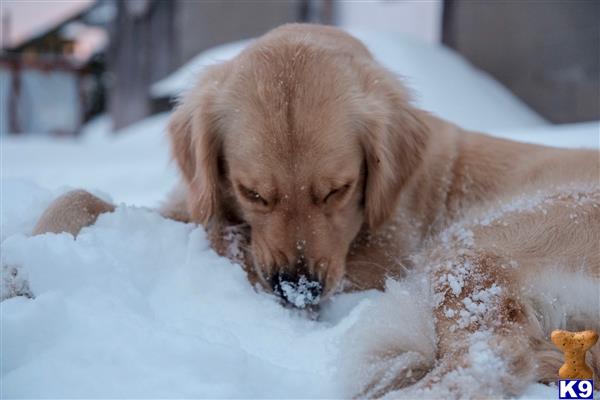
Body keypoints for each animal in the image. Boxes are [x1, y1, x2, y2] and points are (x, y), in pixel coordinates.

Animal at [31, 24, 600, 396]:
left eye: (337, 190)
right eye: (253, 192)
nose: (297, 290)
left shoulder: (378, 263)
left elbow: (218, 238)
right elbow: (79, 198)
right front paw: (31, 257)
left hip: (477, 242)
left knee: (493, 355)